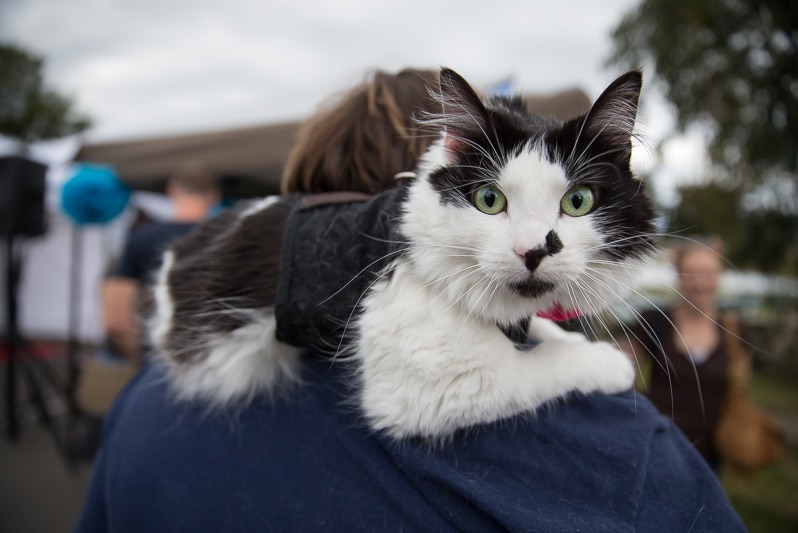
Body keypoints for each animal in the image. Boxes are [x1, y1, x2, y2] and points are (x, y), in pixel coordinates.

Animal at [148, 68, 656, 438]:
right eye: (490, 200)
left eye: (578, 201)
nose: (531, 251)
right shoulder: (443, 386)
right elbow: (548, 363)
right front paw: (609, 363)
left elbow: (541, 332)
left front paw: (567, 337)